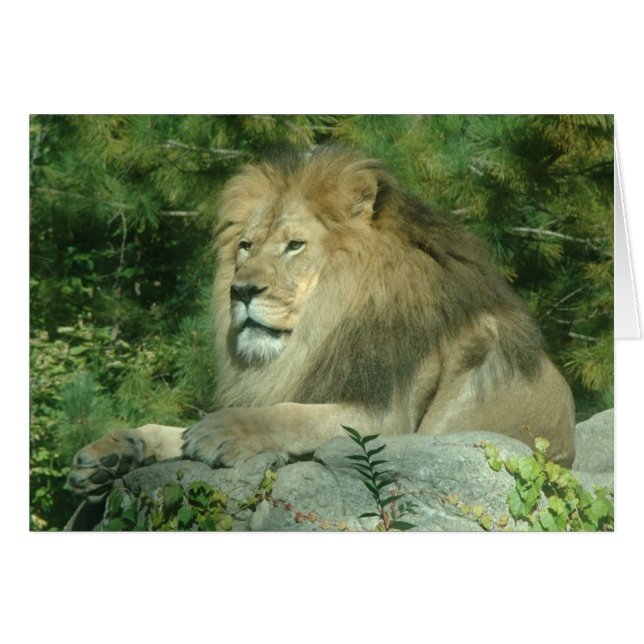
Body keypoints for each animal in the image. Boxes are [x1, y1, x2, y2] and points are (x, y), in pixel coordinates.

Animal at [67, 145, 575, 502]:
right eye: (246, 246)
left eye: (294, 245)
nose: (241, 291)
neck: (322, 328)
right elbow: (174, 431)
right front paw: (114, 451)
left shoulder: (388, 420)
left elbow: (289, 413)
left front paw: (225, 430)